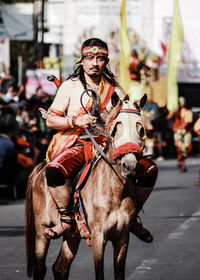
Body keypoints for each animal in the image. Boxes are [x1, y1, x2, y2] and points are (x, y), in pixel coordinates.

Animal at [25, 95, 147, 278]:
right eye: (116, 127)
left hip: (72, 235)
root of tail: (41, 169)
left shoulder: (122, 238)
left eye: (141, 129)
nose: (130, 166)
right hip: (41, 231)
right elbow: (99, 274)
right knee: (40, 268)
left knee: (60, 267)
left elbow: (119, 273)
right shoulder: (97, 237)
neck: (114, 190)